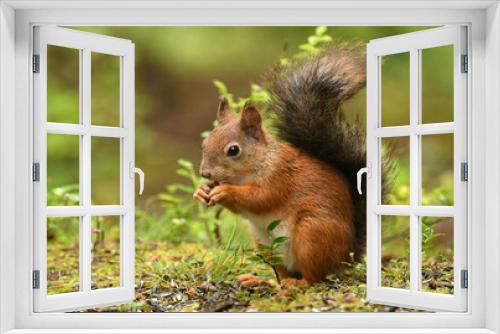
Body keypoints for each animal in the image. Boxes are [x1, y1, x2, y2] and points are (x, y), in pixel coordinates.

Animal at [194, 47, 368, 288]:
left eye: (233, 150)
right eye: (205, 143)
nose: (205, 173)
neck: (259, 163)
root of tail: (346, 259)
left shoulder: (280, 177)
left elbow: (261, 198)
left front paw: (225, 191)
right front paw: (202, 191)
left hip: (312, 233)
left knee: (315, 277)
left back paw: (297, 284)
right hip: (266, 244)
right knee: (283, 273)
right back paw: (263, 281)